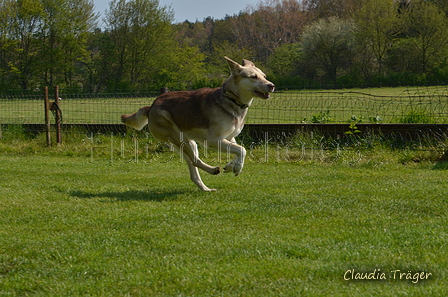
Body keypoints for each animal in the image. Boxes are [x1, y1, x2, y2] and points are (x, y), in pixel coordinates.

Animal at [121, 56, 274, 191]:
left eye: (264, 76)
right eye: (253, 77)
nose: (271, 85)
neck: (232, 99)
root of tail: (151, 107)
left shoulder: (229, 137)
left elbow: (237, 150)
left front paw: (231, 166)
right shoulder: (214, 140)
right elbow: (242, 149)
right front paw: (237, 168)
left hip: (189, 143)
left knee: (194, 170)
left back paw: (206, 189)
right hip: (179, 138)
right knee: (196, 161)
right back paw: (213, 170)